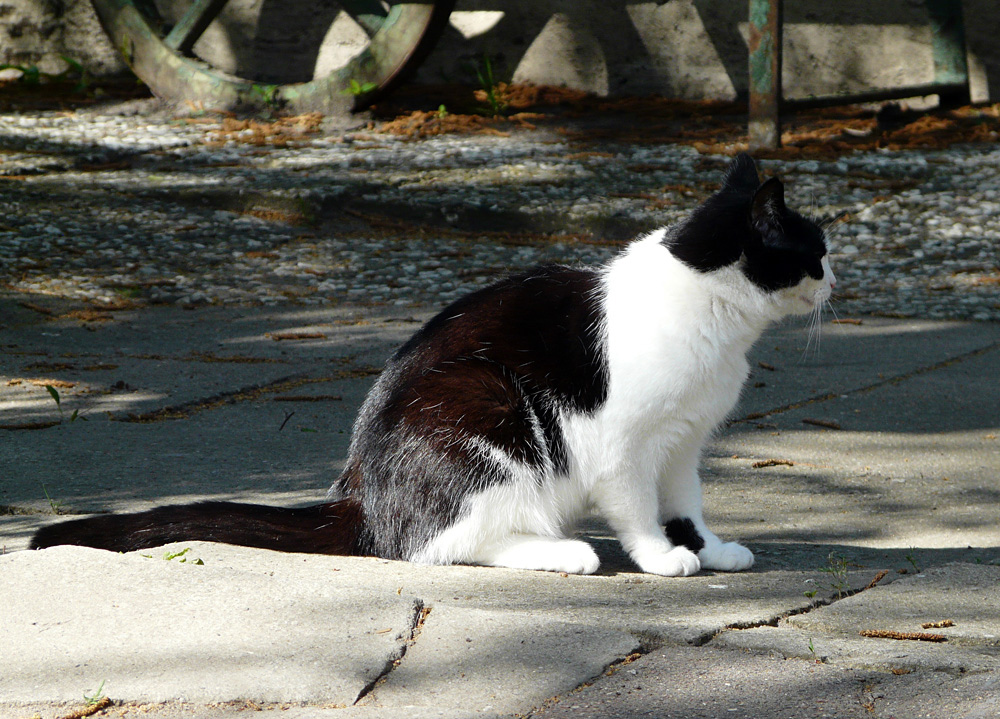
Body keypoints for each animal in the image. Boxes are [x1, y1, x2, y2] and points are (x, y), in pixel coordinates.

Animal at [31, 153, 836, 580]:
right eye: (815, 250)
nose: (836, 279)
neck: (713, 314)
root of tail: (358, 494)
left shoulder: (684, 443)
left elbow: (686, 504)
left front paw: (711, 548)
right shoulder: (625, 445)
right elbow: (640, 508)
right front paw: (661, 558)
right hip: (488, 405)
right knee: (440, 545)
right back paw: (564, 552)